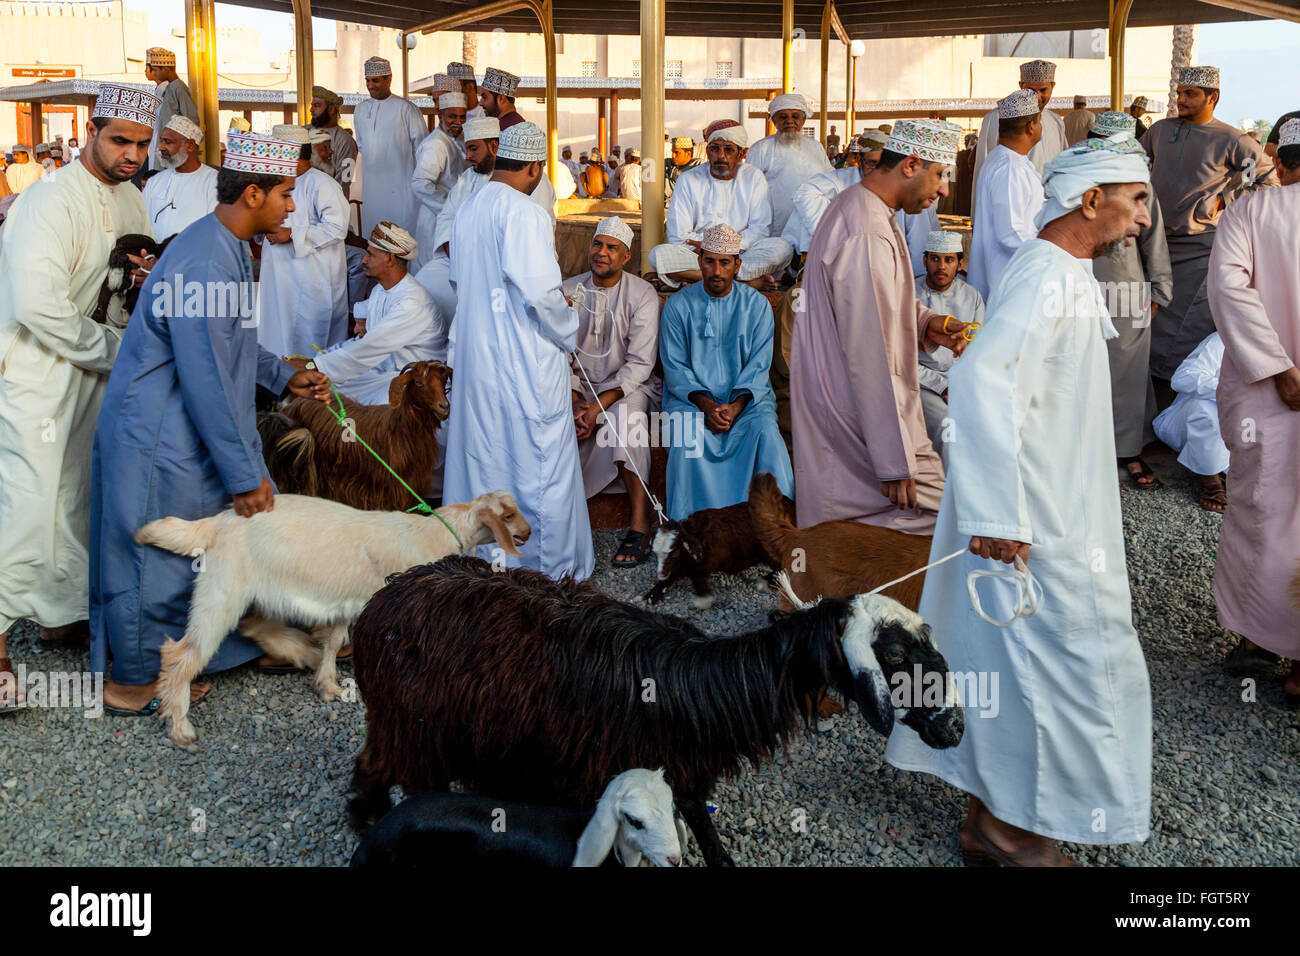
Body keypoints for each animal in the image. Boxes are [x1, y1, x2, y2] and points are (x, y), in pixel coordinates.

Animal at [134, 494, 530, 749]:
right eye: (509, 515)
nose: (527, 533)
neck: (437, 531)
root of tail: (217, 520)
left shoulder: (346, 605)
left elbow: (334, 641)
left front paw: (328, 685)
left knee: (254, 628)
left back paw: (300, 651)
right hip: (222, 596)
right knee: (181, 654)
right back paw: (179, 724)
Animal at [348, 554, 967, 868]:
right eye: (893, 655)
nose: (956, 727)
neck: (701, 687)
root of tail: (383, 599)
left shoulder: (685, 777)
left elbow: (708, 839)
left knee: (371, 760)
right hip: (417, 731)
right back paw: (370, 820)